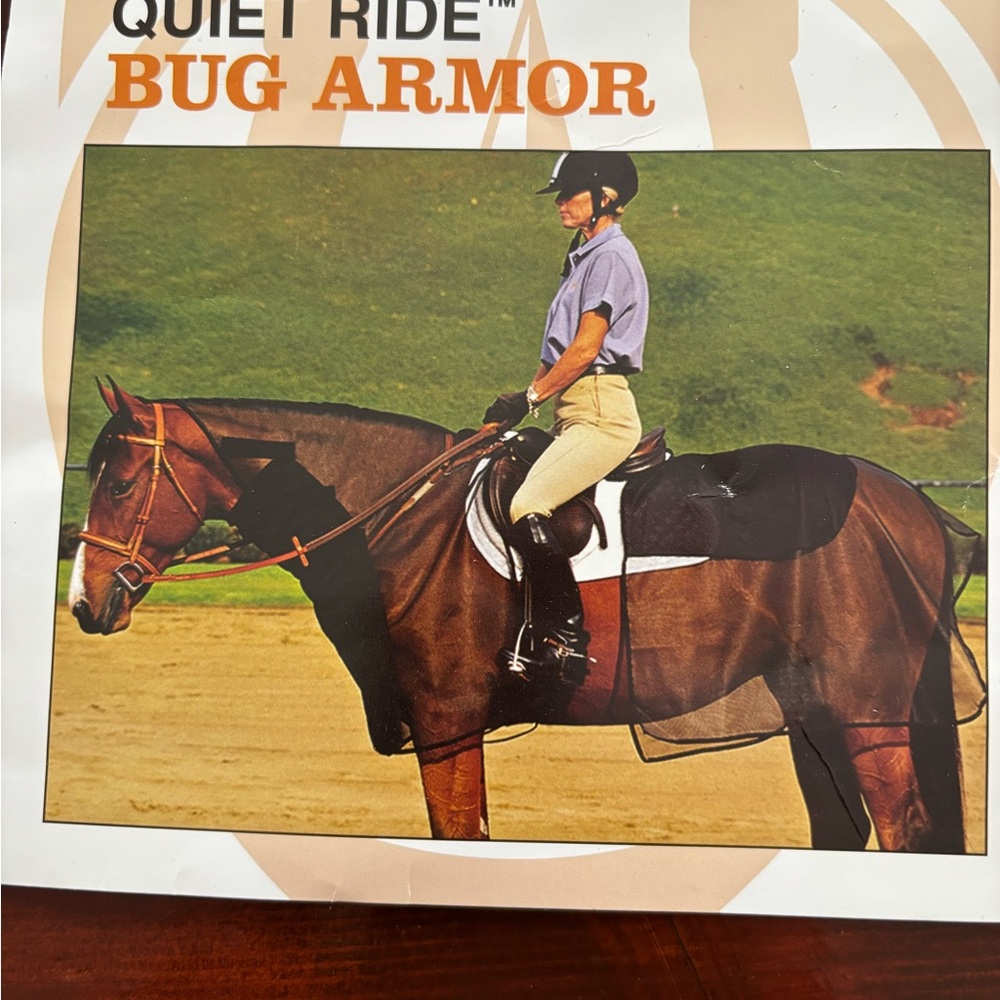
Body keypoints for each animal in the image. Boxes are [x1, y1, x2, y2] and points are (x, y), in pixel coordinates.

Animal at [69, 380, 985, 851]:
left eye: (122, 480)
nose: (84, 600)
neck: (399, 517)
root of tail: (905, 500)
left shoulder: (447, 720)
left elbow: (459, 833)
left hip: (866, 714)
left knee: (902, 828)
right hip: (813, 714)